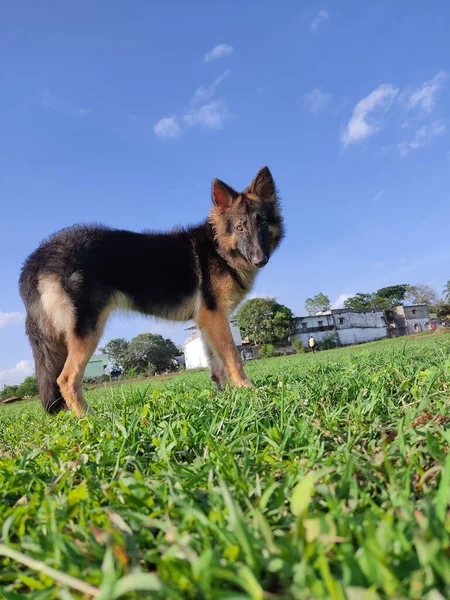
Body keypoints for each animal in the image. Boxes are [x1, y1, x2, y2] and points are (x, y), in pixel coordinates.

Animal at [19, 166, 284, 414]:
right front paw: (249, 390)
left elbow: (217, 366)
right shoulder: (216, 318)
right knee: (66, 380)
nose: (260, 260)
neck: (219, 246)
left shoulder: (208, 321)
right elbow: (233, 357)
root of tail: (39, 256)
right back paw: (91, 419)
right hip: (87, 331)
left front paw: (225, 398)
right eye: (239, 227)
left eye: (262, 222)